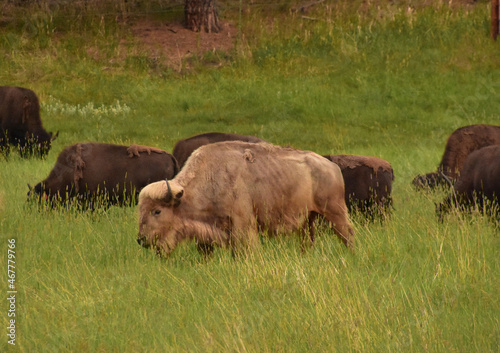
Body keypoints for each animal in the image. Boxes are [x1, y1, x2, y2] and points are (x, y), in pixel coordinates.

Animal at [138, 140, 356, 256]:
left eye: (157, 211)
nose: (141, 239)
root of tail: (332, 167)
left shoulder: (243, 225)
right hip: (307, 220)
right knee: (307, 241)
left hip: (335, 212)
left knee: (347, 234)